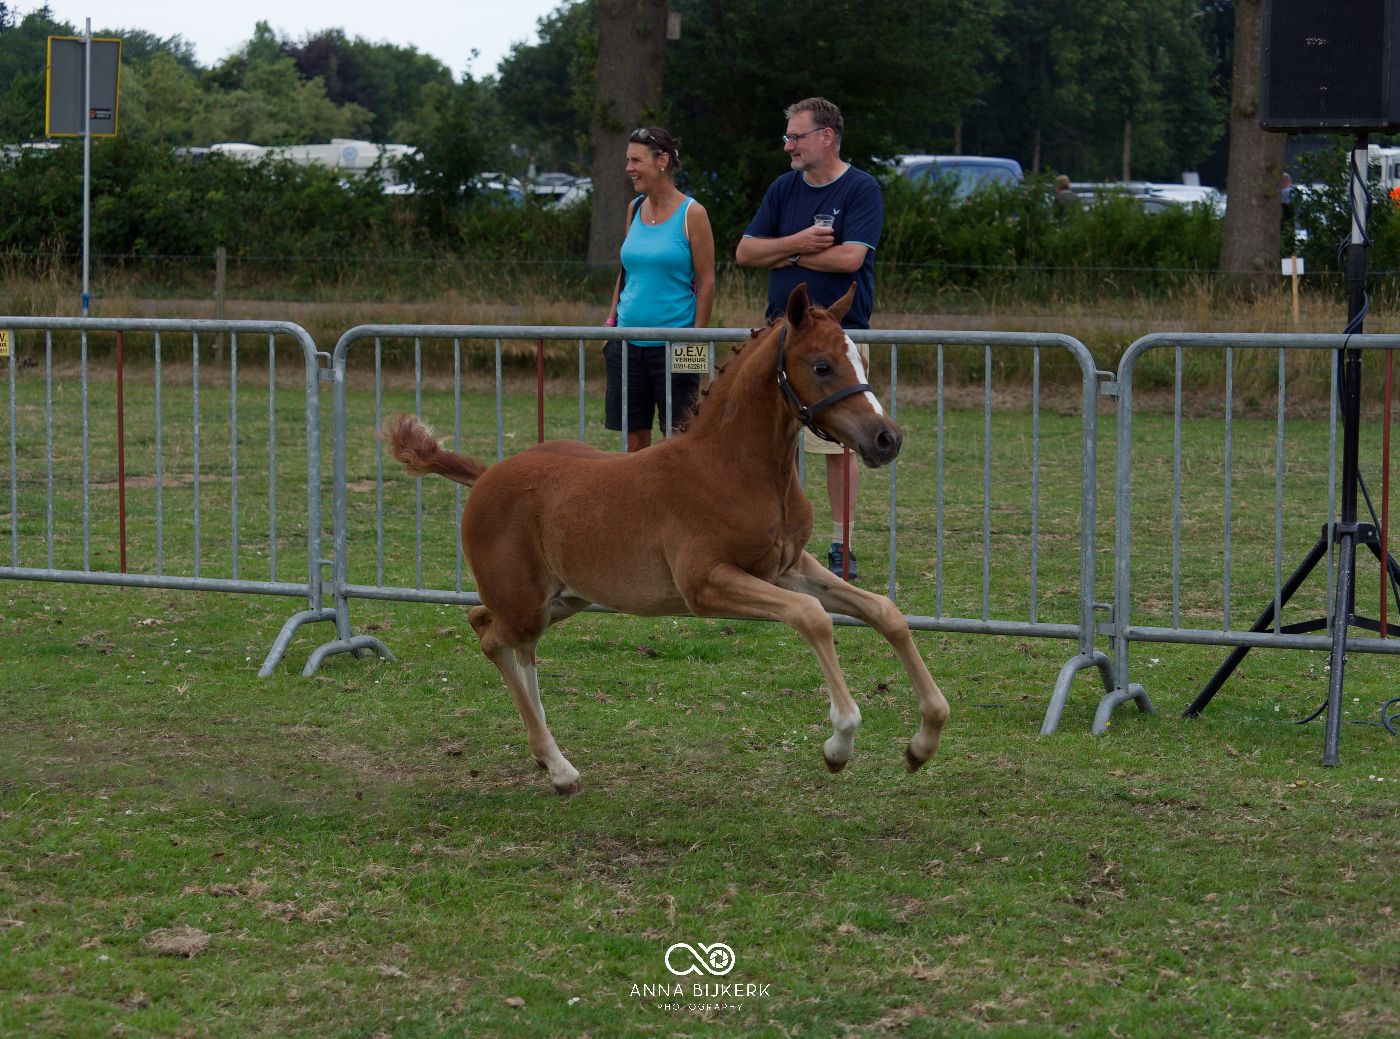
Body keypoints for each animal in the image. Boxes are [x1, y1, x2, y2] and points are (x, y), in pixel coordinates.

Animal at [384, 283, 949, 794]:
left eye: (861, 362)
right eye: (822, 365)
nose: (887, 439)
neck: (736, 468)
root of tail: (485, 476)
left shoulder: (788, 568)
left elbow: (885, 611)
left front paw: (922, 743)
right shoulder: (705, 584)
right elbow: (812, 618)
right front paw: (839, 745)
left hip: (562, 599)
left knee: (498, 633)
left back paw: (549, 760)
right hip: (525, 602)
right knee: (492, 636)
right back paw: (559, 767)